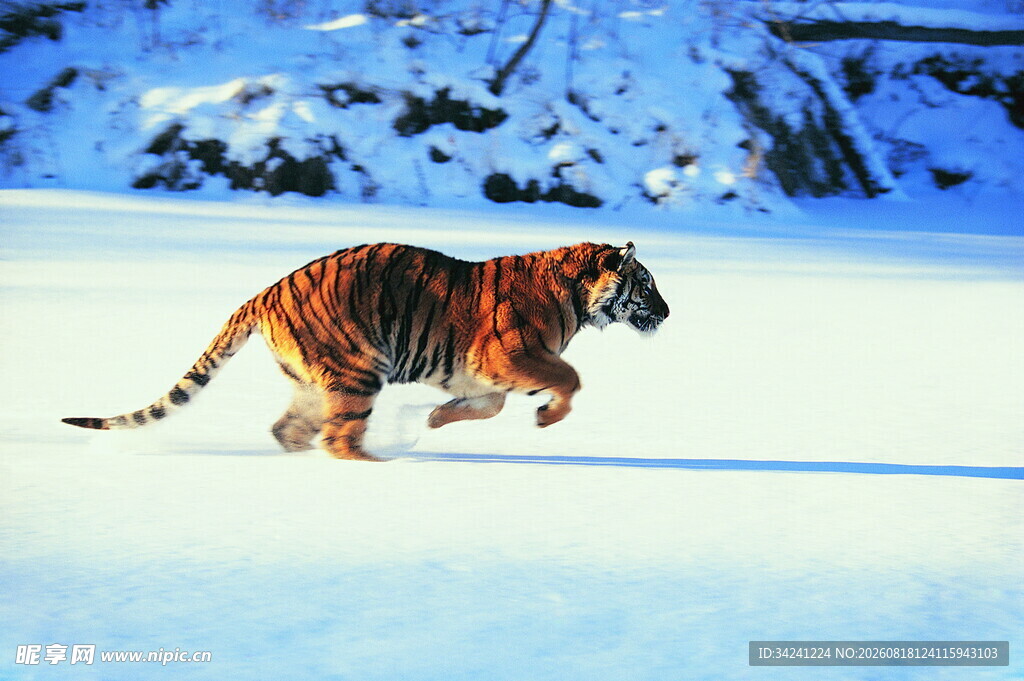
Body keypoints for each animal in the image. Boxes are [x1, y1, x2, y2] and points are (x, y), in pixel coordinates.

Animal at [62, 241, 670, 460]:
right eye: (646, 284)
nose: (667, 312)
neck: (577, 297)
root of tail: (265, 292)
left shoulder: (480, 372)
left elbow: (489, 405)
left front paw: (435, 418)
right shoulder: (508, 356)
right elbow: (570, 378)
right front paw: (547, 418)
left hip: (313, 383)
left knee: (289, 430)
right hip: (359, 370)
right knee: (339, 439)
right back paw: (381, 466)